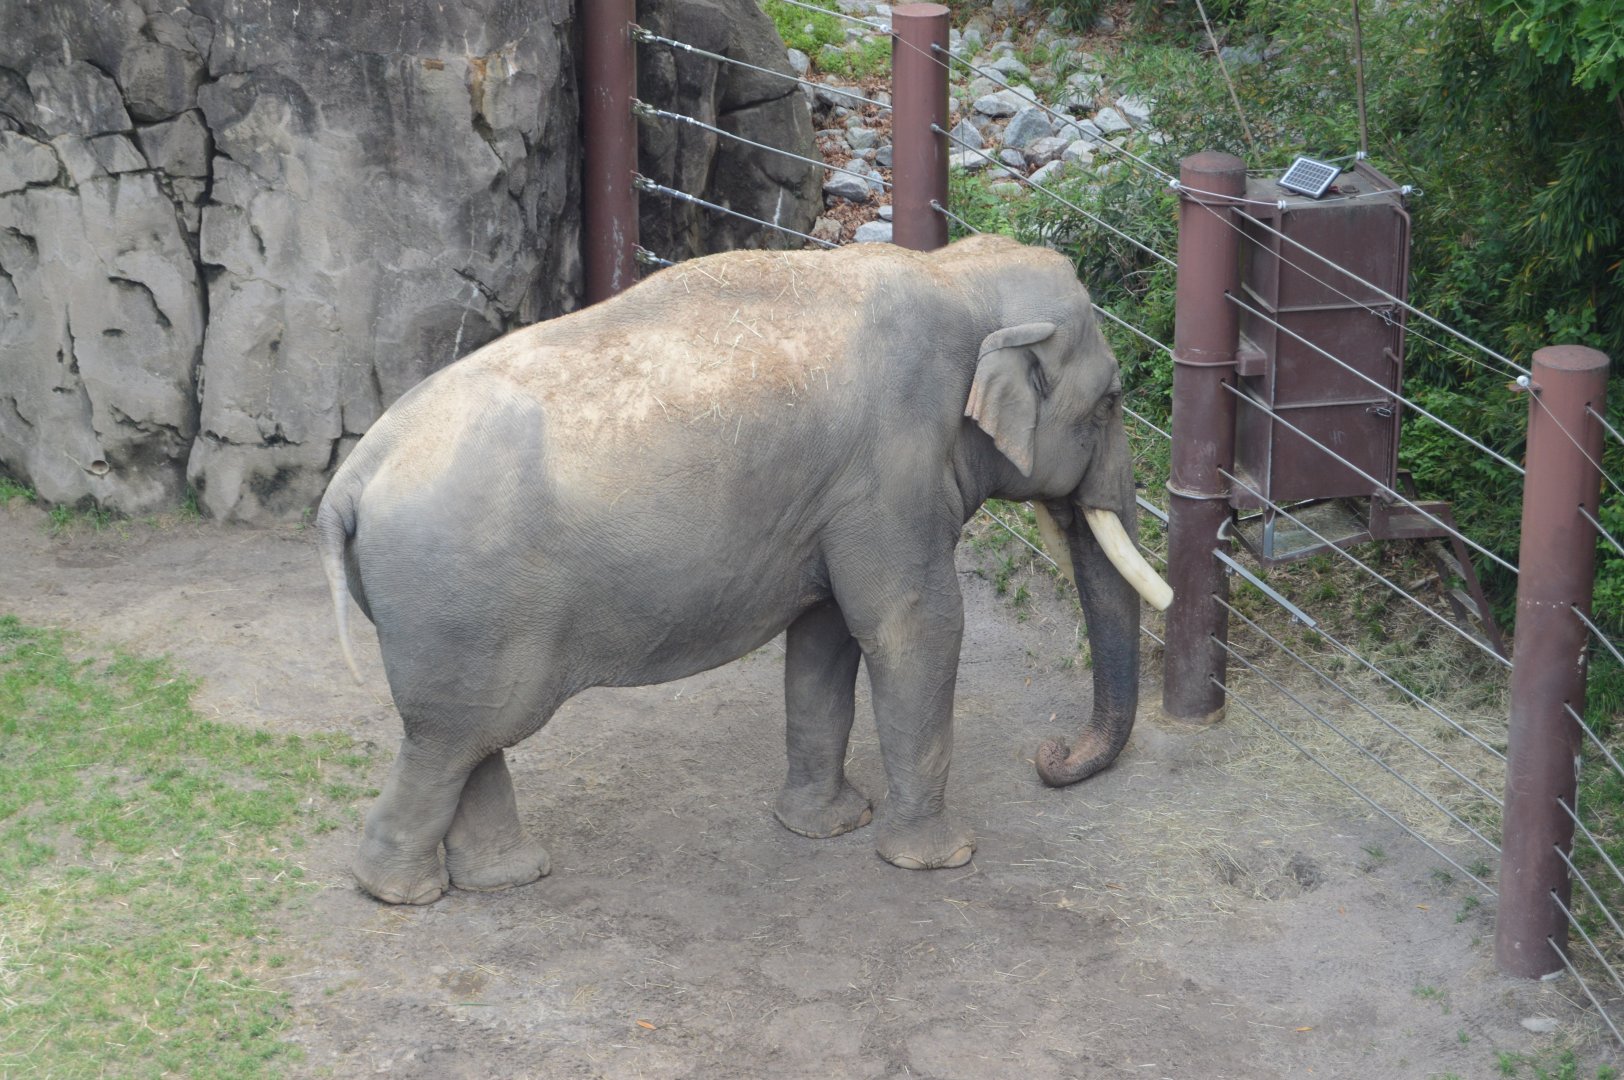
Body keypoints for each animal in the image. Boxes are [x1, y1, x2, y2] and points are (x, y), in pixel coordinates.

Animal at [316, 234, 1172, 905]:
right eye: (1110, 403)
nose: (1051, 757)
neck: (957, 273)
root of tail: (353, 476)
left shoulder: (834, 501)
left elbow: (826, 638)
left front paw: (824, 827)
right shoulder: (890, 472)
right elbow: (914, 630)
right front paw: (937, 860)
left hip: (466, 613)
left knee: (473, 734)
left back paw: (504, 876)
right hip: (457, 596)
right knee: (454, 737)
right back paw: (402, 892)